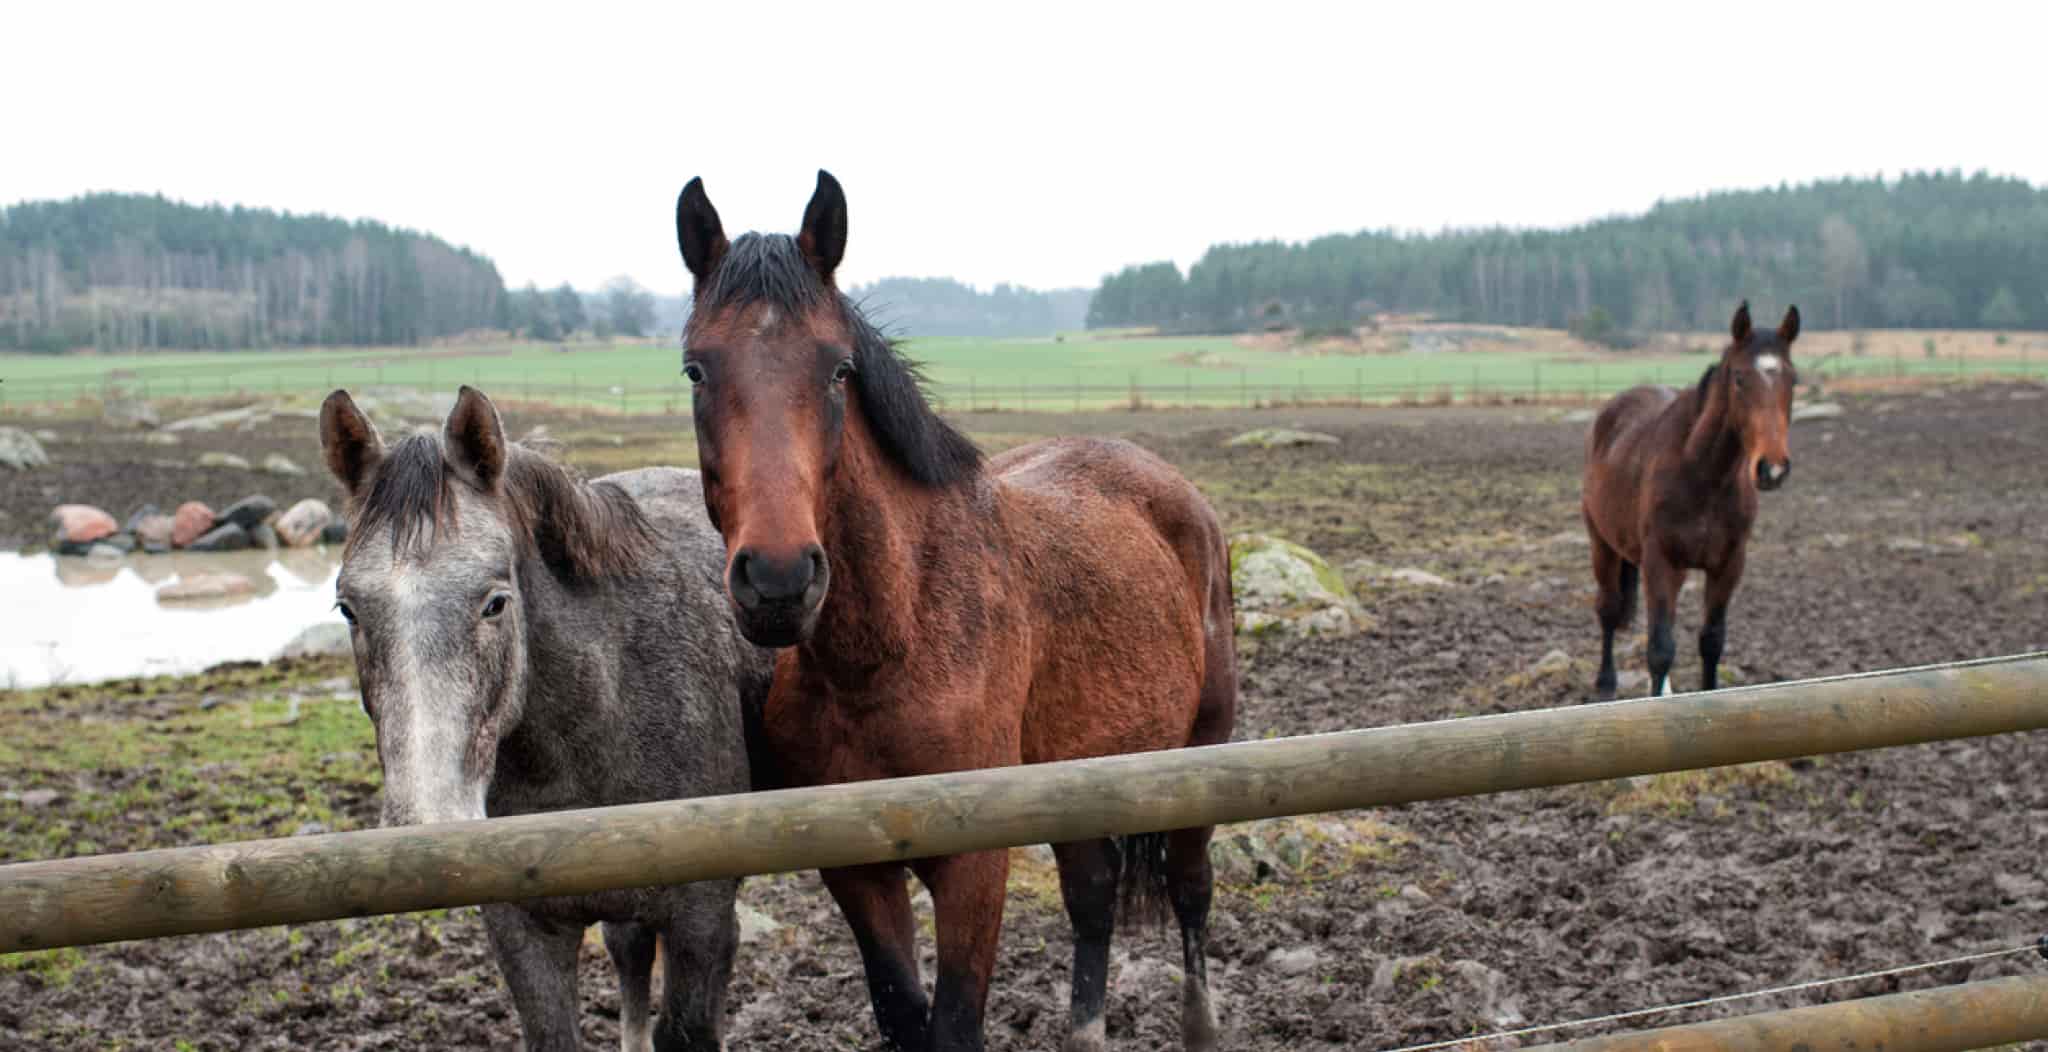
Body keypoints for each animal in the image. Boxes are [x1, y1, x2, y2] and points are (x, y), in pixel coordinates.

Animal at [671, 171, 1228, 1047]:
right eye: (697, 369)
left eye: (838, 369)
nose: (779, 580)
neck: (888, 648)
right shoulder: (857, 870)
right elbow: (904, 1013)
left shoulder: (974, 867)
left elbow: (955, 1024)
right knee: (1094, 894)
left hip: (1205, 751)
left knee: (1192, 889)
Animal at [1572, 300, 1802, 695]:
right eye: (1739, 378)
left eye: (1792, 379)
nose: (1772, 468)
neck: (1704, 475)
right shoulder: (1661, 562)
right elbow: (1660, 649)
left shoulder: (1728, 565)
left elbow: (1711, 641)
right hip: (1603, 544)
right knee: (1608, 609)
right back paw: (1605, 684)